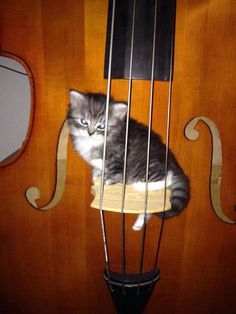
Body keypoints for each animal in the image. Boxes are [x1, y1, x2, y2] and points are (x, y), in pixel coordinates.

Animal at [67, 90, 189, 231]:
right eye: (83, 121)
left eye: (101, 126)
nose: (90, 133)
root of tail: (173, 163)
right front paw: (96, 174)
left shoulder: (119, 156)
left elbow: (109, 168)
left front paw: (106, 177)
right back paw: (139, 224)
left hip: (148, 165)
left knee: (166, 178)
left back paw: (139, 185)